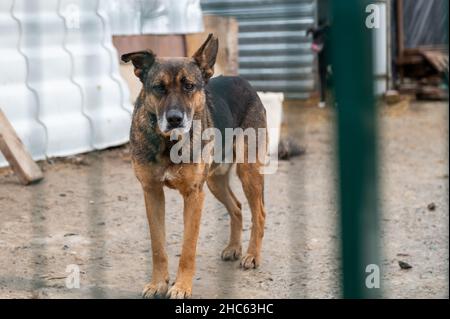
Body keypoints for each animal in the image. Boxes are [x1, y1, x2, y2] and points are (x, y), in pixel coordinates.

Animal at [120, 33, 268, 298]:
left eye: (189, 86)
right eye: (159, 87)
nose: (175, 119)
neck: (169, 143)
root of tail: (241, 80)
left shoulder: (193, 195)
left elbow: (188, 249)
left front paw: (181, 287)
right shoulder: (152, 192)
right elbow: (158, 246)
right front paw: (158, 283)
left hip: (247, 172)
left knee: (258, 212)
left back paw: (252, 255)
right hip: (214, 181)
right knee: (237, 207)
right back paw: (234, 247)